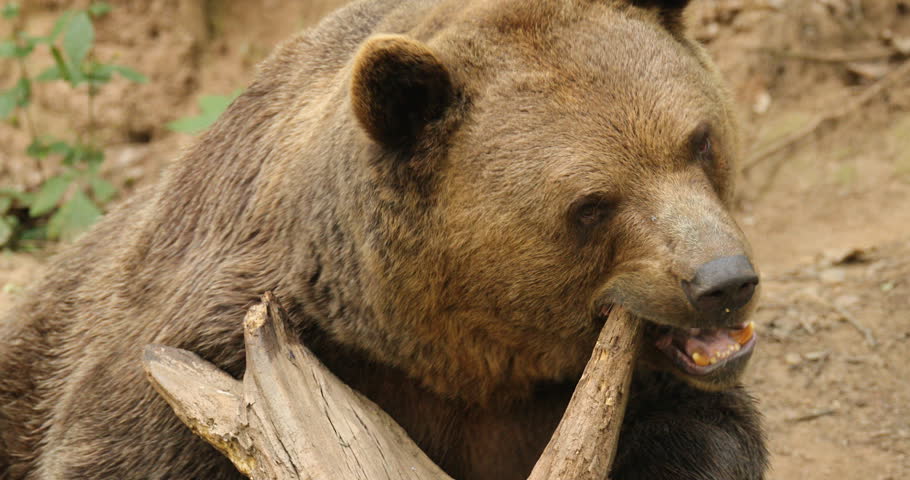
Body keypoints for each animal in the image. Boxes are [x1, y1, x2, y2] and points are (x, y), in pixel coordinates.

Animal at [0, 0, 768, 478]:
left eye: (698, 141)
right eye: (592, 204)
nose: (723, 281)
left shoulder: (610, 392)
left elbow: (706, 432)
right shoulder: (201, 360)